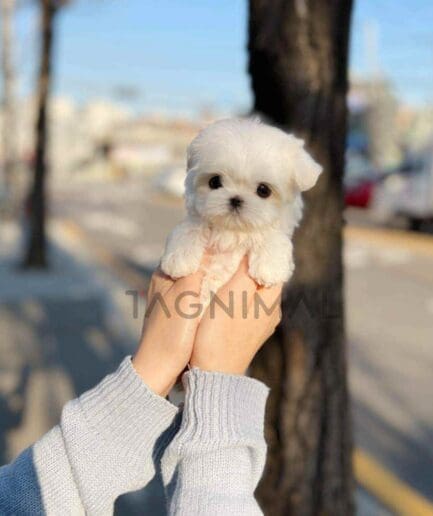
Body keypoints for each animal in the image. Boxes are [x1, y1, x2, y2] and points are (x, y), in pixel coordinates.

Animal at [159, 119, 320, 304]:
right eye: (214, 182)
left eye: (263, 190)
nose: (235, 199)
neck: (233, 232)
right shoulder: (197, 218)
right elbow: (189, 227)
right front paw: (178, 258)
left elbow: (272, 235)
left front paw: (269, 267)